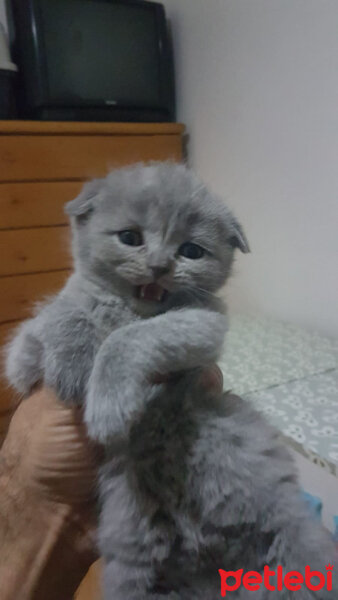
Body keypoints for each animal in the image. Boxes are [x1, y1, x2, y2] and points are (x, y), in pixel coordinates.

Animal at [4, 162, 336, 596]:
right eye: (130, 238)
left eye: (191, 251)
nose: (160, 266)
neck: (132, 308)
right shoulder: (25, 353)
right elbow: (56, 315)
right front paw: (71, 361)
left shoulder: (204, 322)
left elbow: (130, 338)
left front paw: (108, 405)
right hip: (133, 569)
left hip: (290, 533)